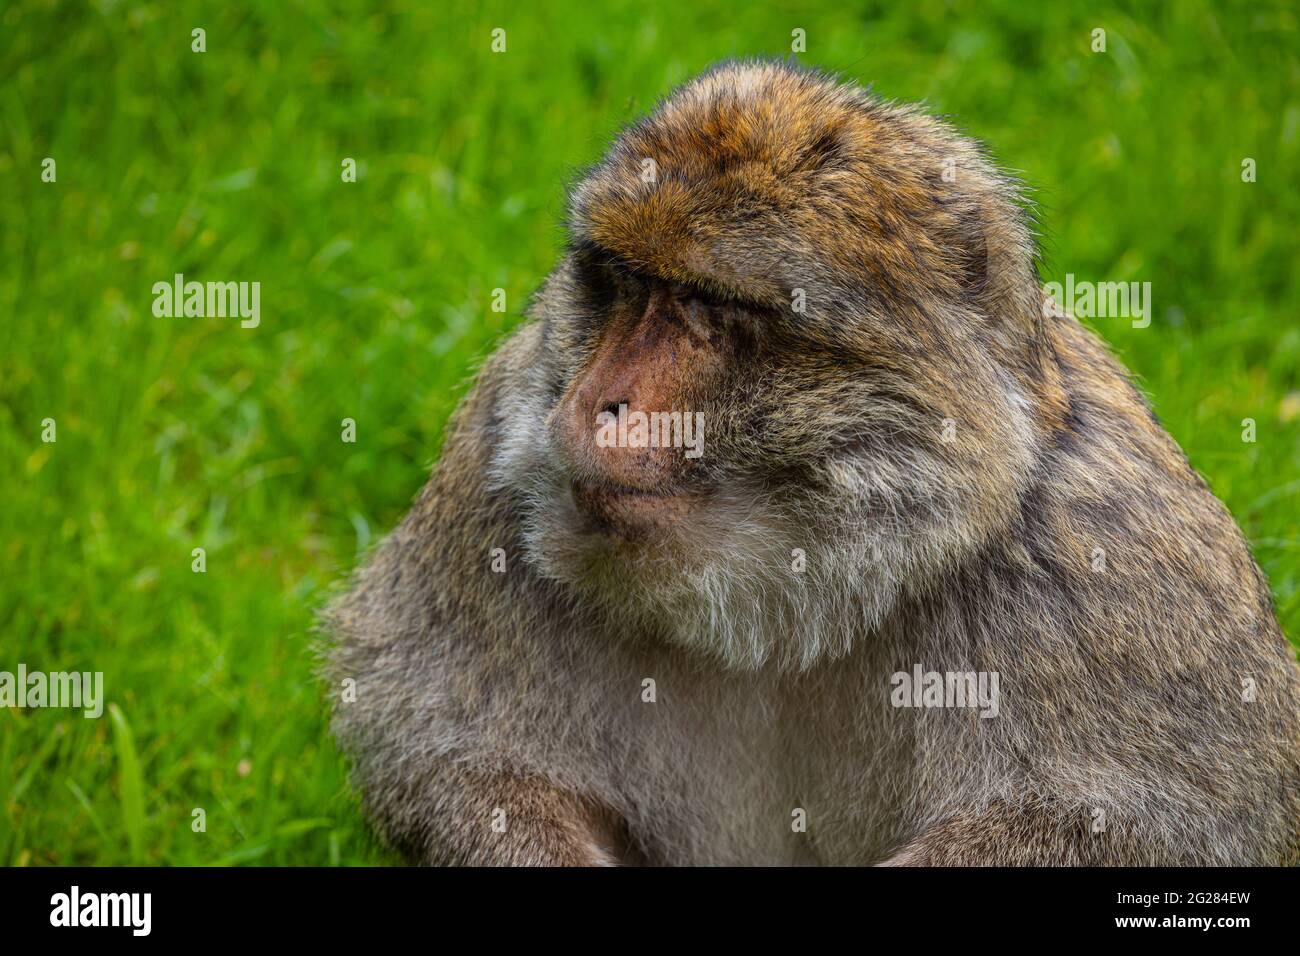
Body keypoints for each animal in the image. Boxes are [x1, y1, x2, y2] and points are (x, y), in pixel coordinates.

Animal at [325, 60, 1300, 866]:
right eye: (628, 283)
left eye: (709, 306)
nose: (599, 401)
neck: (791, 602)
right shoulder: (492, 462)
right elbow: (447, 753)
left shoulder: (1110, 565)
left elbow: (1155, 821)